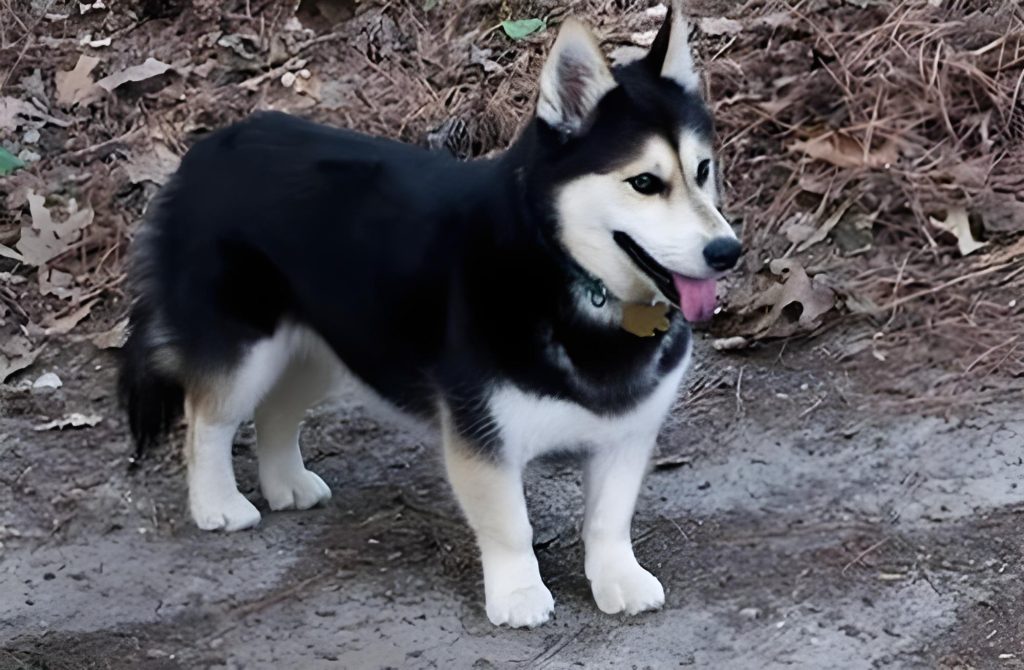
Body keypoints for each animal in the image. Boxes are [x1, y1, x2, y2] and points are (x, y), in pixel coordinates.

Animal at [117, 1, 745, 631]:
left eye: (703, 170)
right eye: (645, 182)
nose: (727, 252)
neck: (562, 267)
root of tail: (204, 150)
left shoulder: (627, 432)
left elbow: (609, 519)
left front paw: (618, 577)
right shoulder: (481, 431)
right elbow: (509, 523)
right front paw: (518, 592)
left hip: (326, 344)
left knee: (275, 411)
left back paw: (286, 484)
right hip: (248, 347)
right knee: (207, 420)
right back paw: (218, 504)